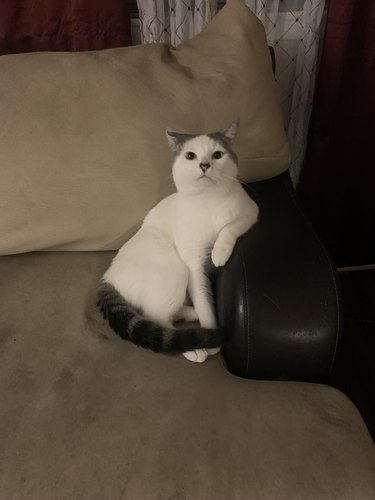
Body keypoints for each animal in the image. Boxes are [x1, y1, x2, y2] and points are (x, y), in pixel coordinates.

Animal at [98, 121, 260, 364]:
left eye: (217, 155)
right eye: (190, 156)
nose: (204, 165)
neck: (208, 202)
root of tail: (108, 277)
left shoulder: (250, 213)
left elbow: (228, 229)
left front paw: (219, 253)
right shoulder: (193, 265)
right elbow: (204, 302)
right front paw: (211, 338)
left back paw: (192, 315)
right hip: (175, 271)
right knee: (157, 317)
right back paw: (193, 347)